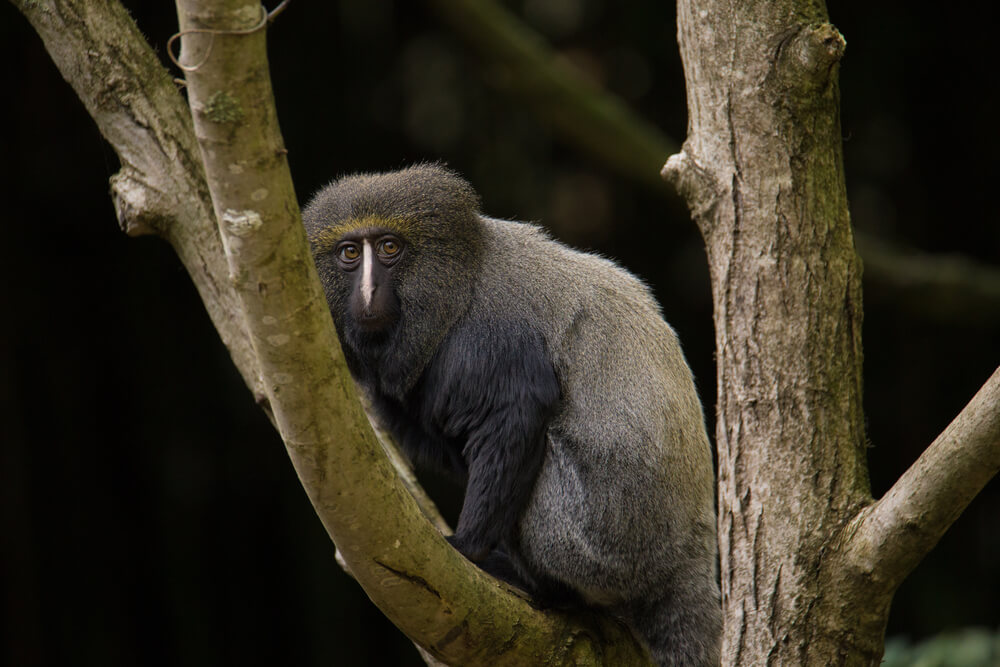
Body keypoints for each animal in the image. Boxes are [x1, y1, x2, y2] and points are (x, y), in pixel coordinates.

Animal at [302, 164, 720, 664]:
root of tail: (686, 557)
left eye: (389, 248)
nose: (367, 291)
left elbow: (517, 411)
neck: (457, 281)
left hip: (599, 544)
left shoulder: (487, 334)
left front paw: (468, 548)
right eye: (349, 253)